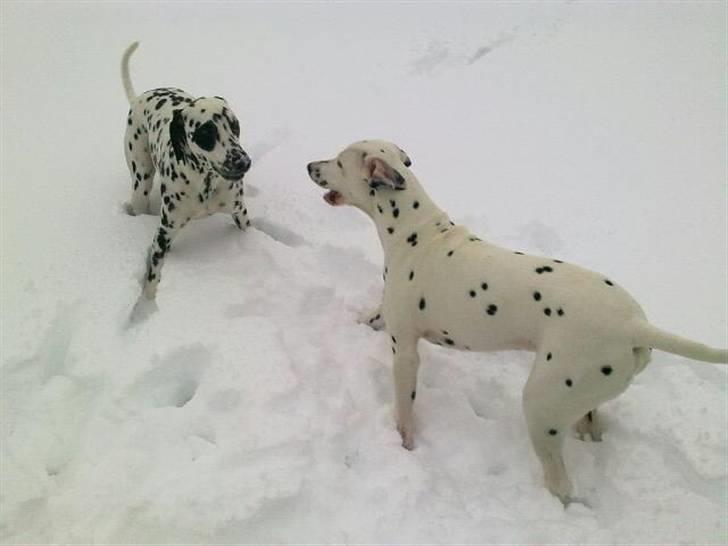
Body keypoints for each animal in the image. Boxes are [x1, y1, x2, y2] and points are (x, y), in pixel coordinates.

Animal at [121, 42, 252, 298]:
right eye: (205, 133)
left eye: (235, 125)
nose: (243, 162)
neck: (205, 183)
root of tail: (138, 99)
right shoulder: (163, 235)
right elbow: (152, 277)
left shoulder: (239, 211)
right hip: (141, 181)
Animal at [308, 138, 728, 504]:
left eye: (339, 162)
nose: (310, 165)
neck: (416, 233)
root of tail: (632, 324)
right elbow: (373, 315)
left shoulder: (406, 353)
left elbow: (404, 410)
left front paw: (404, 444)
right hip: (582, 399)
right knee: (591, 426)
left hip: (542, 406)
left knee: (560, 483)